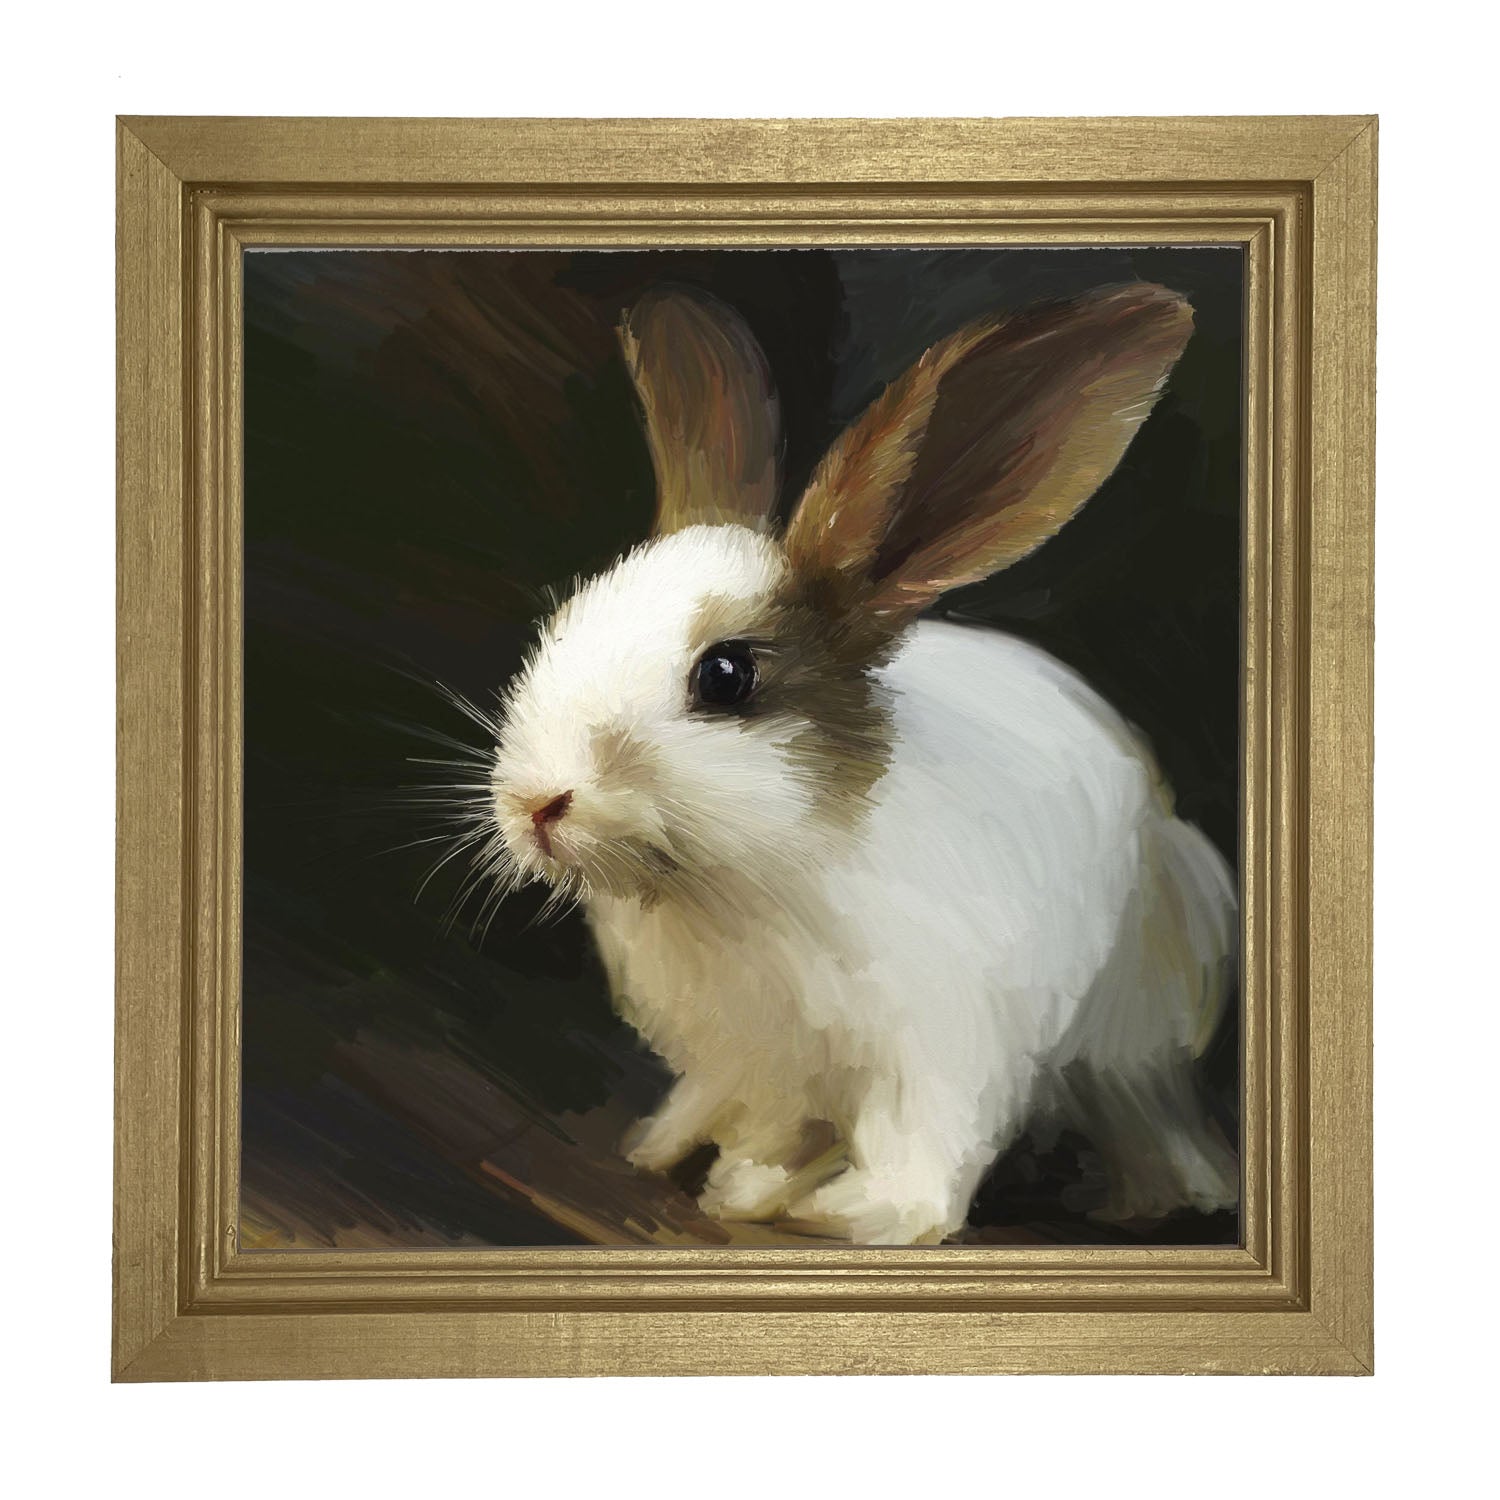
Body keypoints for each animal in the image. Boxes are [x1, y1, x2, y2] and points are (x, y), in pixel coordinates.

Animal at [482, 281, 1239, 1244]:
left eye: (725, 676)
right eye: (566, 618)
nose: (536, 803)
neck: (740, 884)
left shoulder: (939, 1050)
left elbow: (920, 1152)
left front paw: (854, 1214)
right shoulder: (754, 1062)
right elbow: (770, 1128)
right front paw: (741, 1186)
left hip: (1136, 1032)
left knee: (1146, 1112)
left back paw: (1159, 1198)